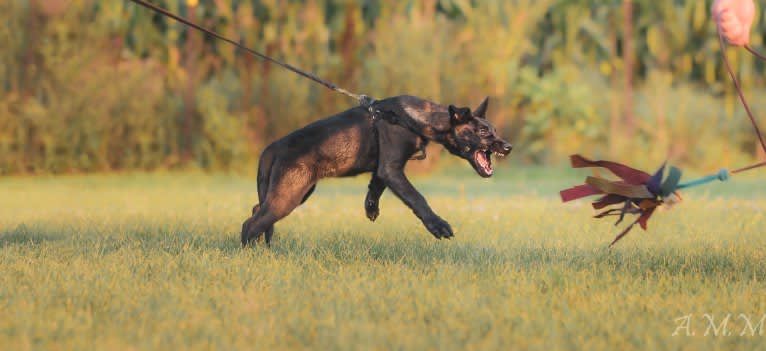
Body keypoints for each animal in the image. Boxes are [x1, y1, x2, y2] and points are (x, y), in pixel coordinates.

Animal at [243, 95, 512, 246]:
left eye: (494, 130)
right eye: (483, 132)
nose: (508, 147)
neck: (415, 119)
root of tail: (272, 148)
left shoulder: (384, 168)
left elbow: (375, 186)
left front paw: (370, 208)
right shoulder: (393, 168)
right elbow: (417, 198)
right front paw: (438, 225)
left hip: (294, 192)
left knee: (257, 211)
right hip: (289, 195)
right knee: (250, 223)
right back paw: (249, 254)